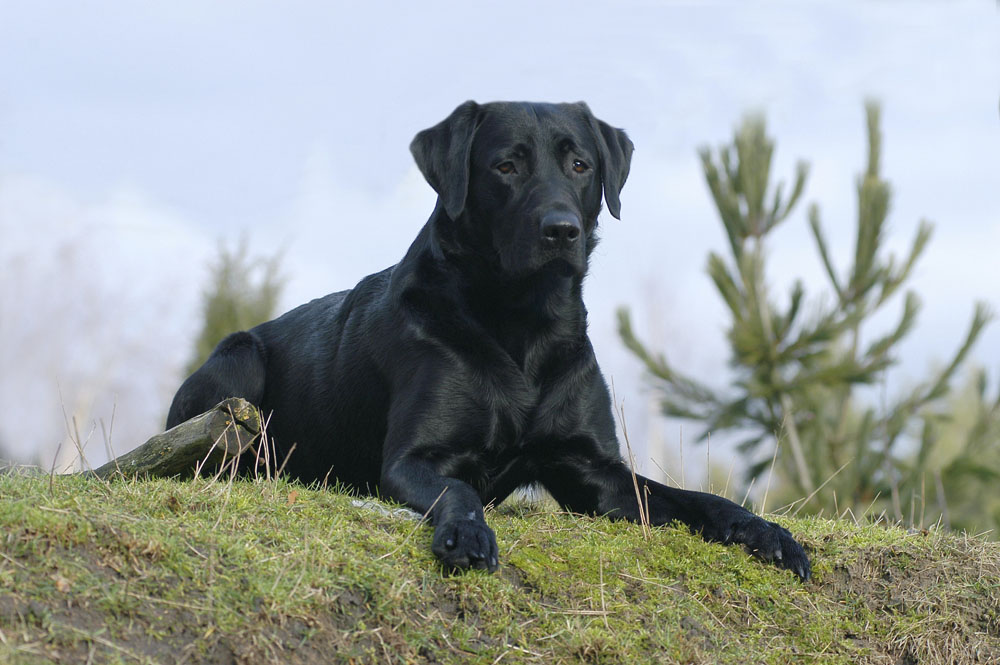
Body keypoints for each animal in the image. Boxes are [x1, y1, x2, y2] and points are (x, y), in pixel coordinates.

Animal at [170, 101, 812, 580]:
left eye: (580, 165)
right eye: (506, 167)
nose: (561, 230)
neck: (524, 322)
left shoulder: (591, 468)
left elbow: (692, 499)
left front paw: (766, 532)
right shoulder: (412, 460)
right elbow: (458, 489)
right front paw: (466, 532)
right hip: (238, 358)